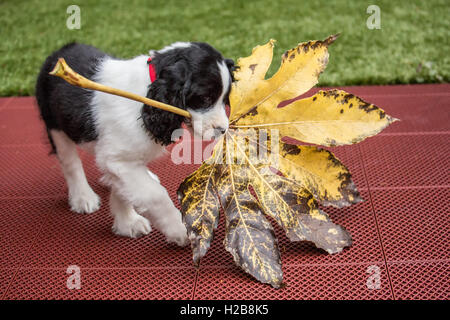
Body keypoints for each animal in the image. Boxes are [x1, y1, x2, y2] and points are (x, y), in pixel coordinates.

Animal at [35, 40, 234, 245]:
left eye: (225, 99)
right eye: (205, 98)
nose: (222, 130)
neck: (148, 94)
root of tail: (62, 49)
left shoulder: (118, 160)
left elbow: (124, 188)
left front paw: (127, 223)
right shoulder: (117, 158)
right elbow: (155, 195)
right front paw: (181, 230)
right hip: (55, 125)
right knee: (70, 162)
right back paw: (82, 196)